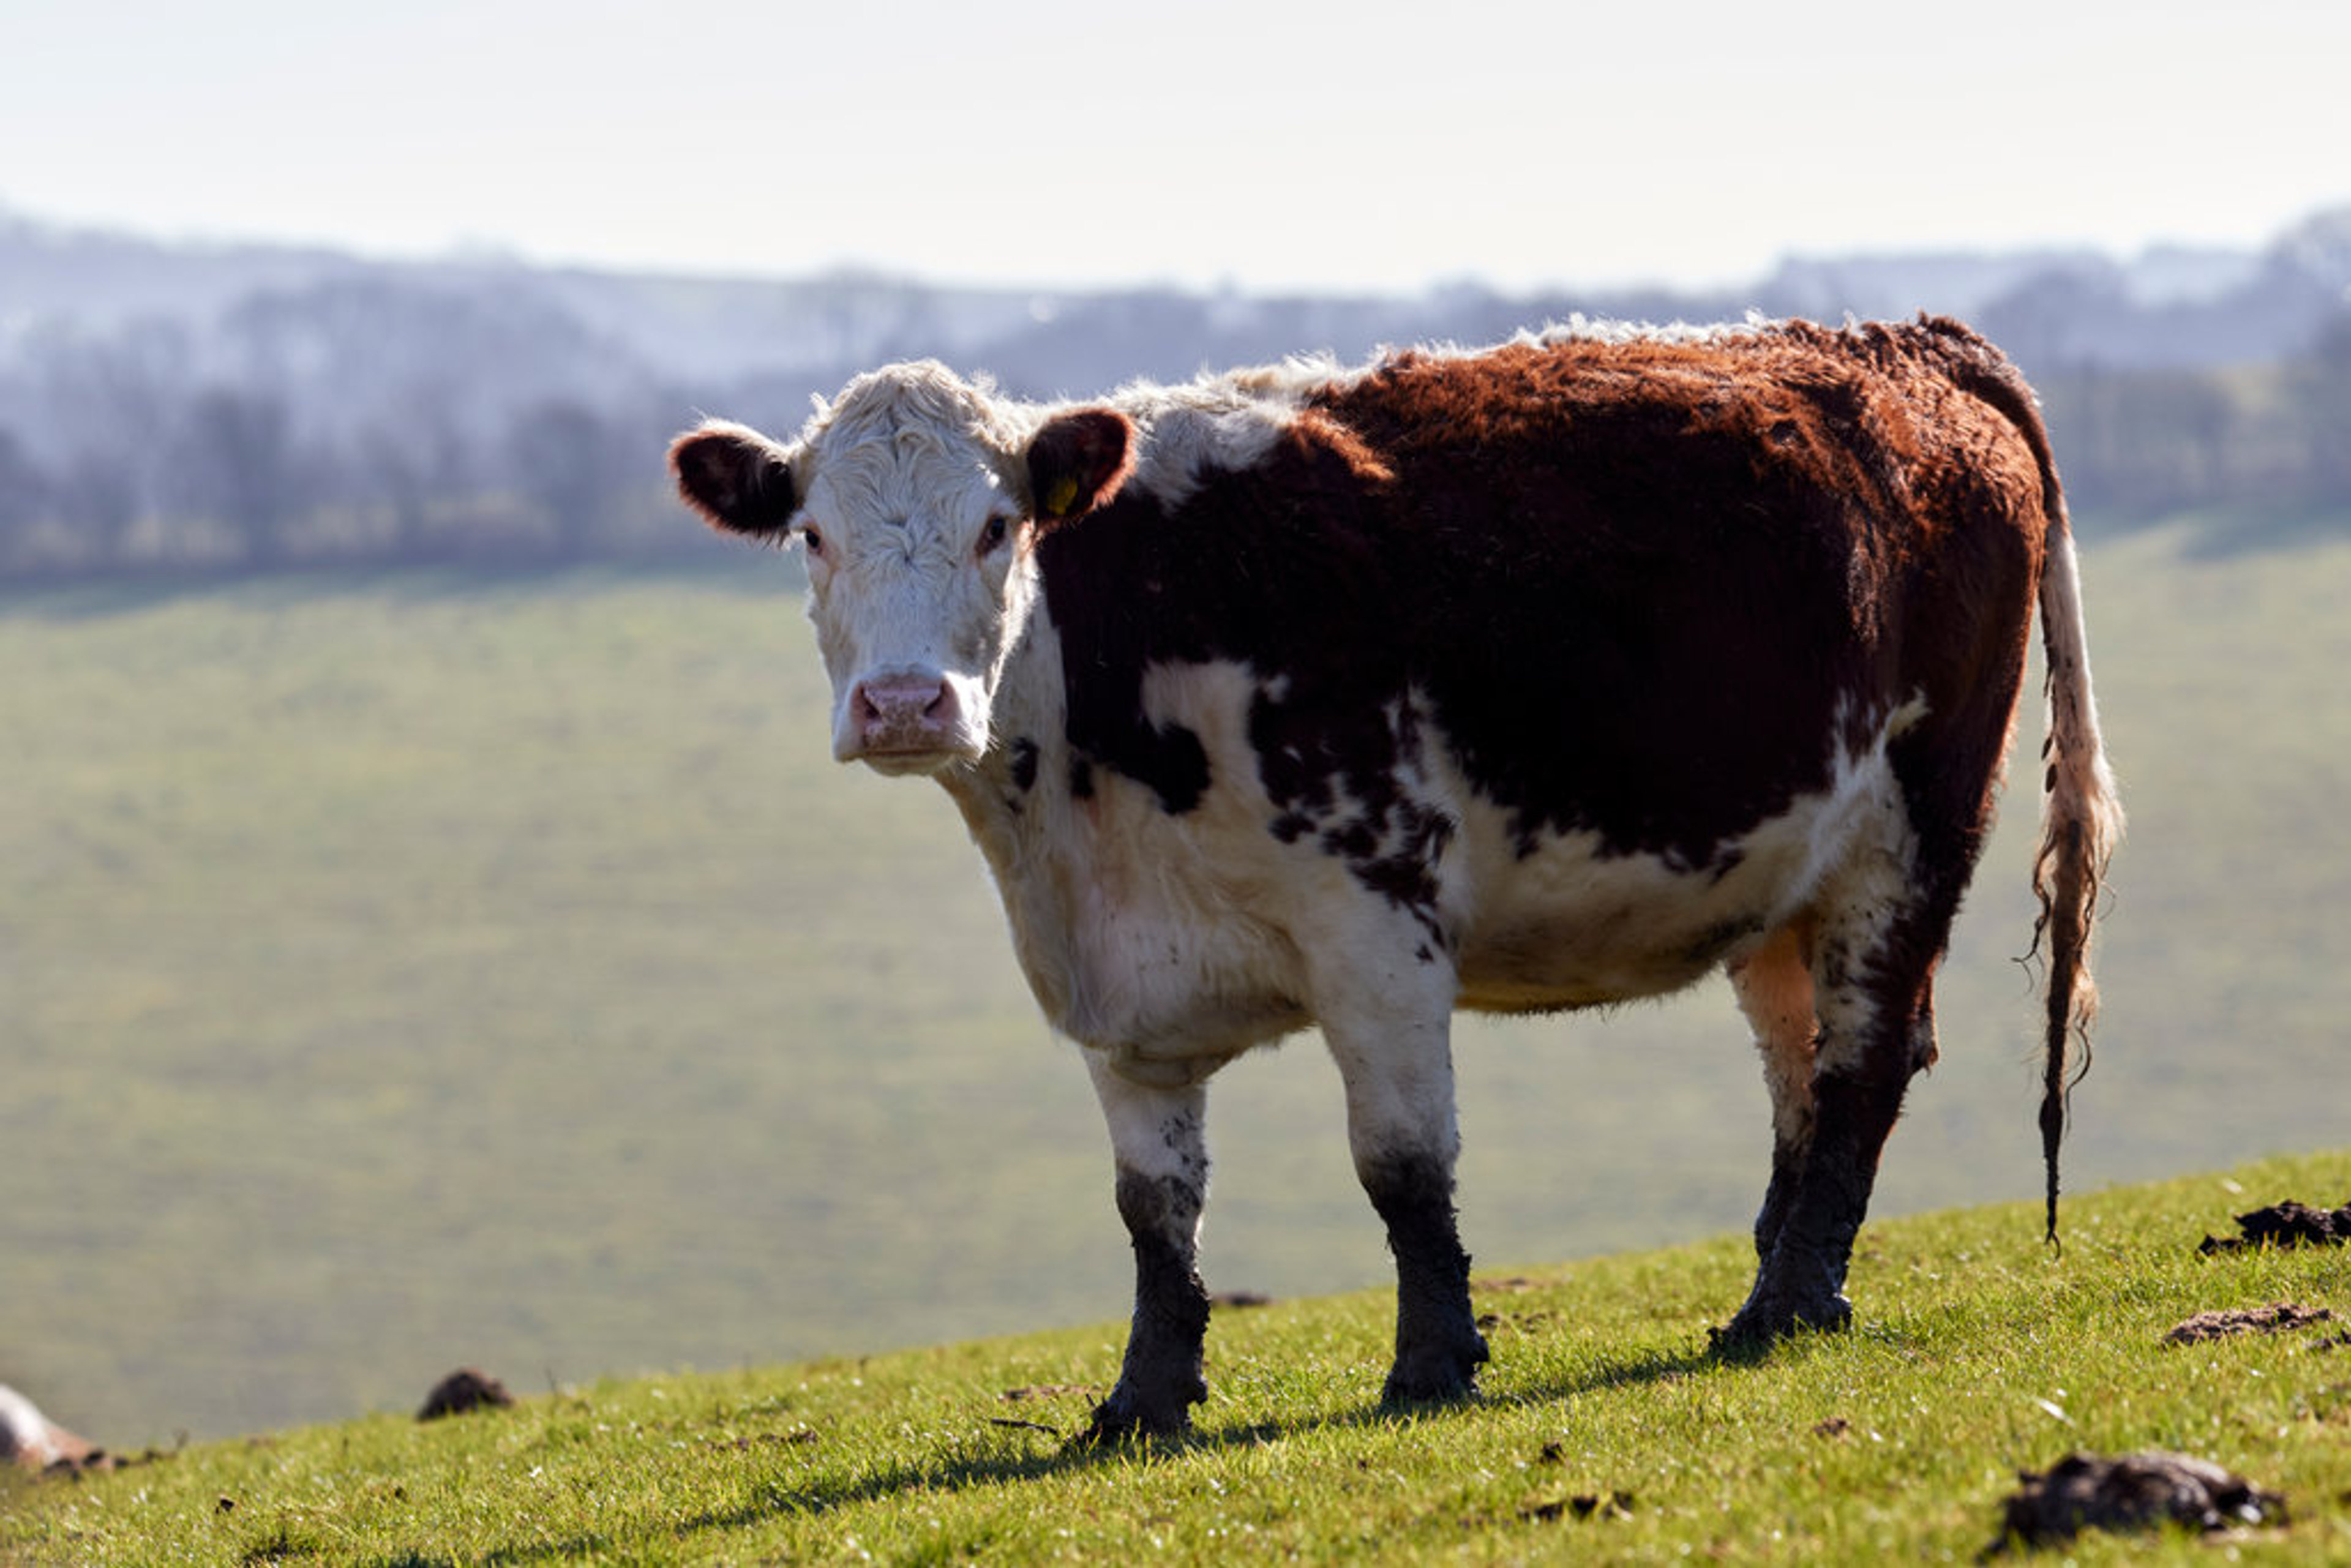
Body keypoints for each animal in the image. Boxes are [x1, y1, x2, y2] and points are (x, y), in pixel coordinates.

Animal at [668, 316, 2120, 1442]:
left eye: (996, 526)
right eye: (811, 535)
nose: (906, 703)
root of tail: (1900, 341)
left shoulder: (1375, 924)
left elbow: (1404, 1164)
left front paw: (1430, 1363)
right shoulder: (1118, 992)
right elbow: (1154, 1208)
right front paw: (1144, 1399)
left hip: (1917, 823)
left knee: (1867, 1055)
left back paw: (1791, 1305)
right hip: (1786, 865)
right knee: (1803, 1070)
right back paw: (1769, 1280)